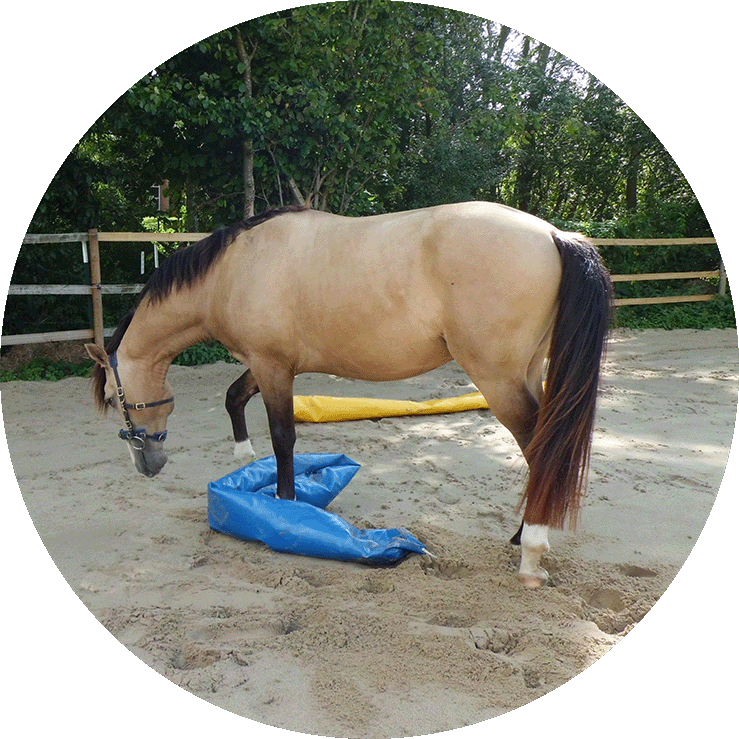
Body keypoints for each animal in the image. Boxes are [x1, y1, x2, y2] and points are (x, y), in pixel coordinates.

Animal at [86, 201, 613, 588]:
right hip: (527, 370)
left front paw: (285, 507)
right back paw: (520, 534)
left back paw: (531, 551)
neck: (234, 269)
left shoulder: (273, 366)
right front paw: (244, 456)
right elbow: (235, 398)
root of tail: (554, 235)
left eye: (113, 399)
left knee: (539, 446)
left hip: (498, 379)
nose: (148, 465)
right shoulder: (269, 363)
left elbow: (283, 437)